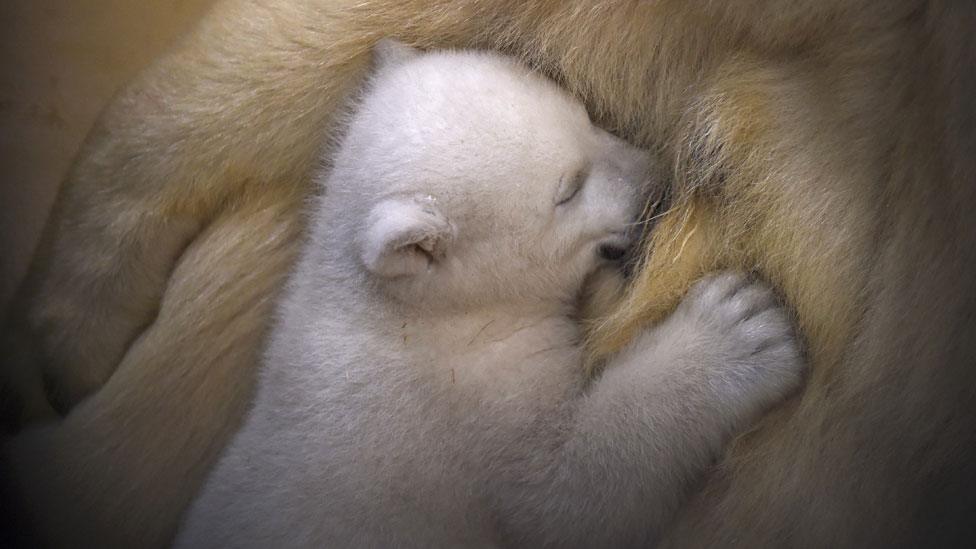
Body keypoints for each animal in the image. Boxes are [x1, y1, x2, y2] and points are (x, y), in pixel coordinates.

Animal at [1, 0, 976, 544]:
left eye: (583, 112)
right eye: (567, 188)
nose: (655, 175)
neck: (411, 318)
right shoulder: (462, 417)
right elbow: (563, 492)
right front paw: (740, 326)